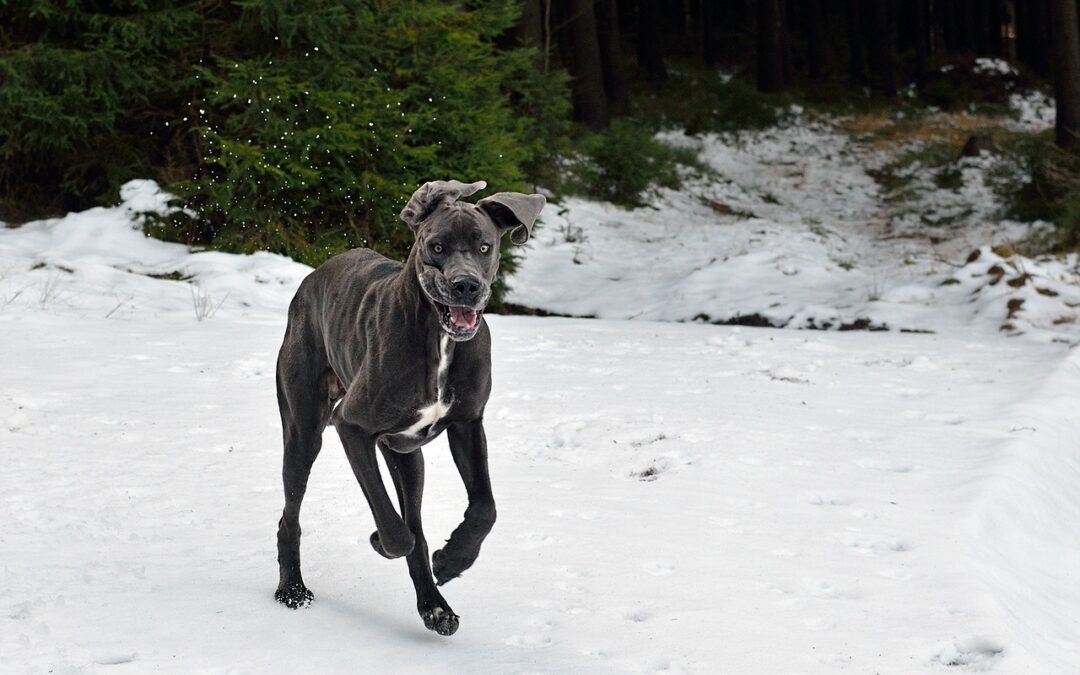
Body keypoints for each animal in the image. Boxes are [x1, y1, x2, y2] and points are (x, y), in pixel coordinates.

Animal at [274, 178, 544, 630]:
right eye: (436, 246)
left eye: (484, 246)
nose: (466, 285)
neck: (439, 338)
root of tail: (312, 278)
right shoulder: (351, 426)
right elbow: (395, 530)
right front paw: (382, 541)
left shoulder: (468, 424)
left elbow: (484, 508)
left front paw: (453, 560)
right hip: (304, 432)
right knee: (291, 515)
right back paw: (291, 588)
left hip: (407, 458)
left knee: (414, 513)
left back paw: (435, 605)